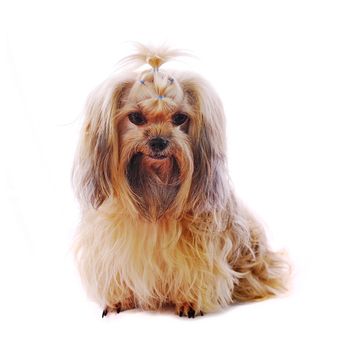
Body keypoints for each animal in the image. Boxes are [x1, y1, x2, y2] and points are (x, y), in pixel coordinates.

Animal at [72, 43, 288, 318]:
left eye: (179, 118)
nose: (158, 141)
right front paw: (120, 298)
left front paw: (190, 302)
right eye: (136, 118)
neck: (154, 187)